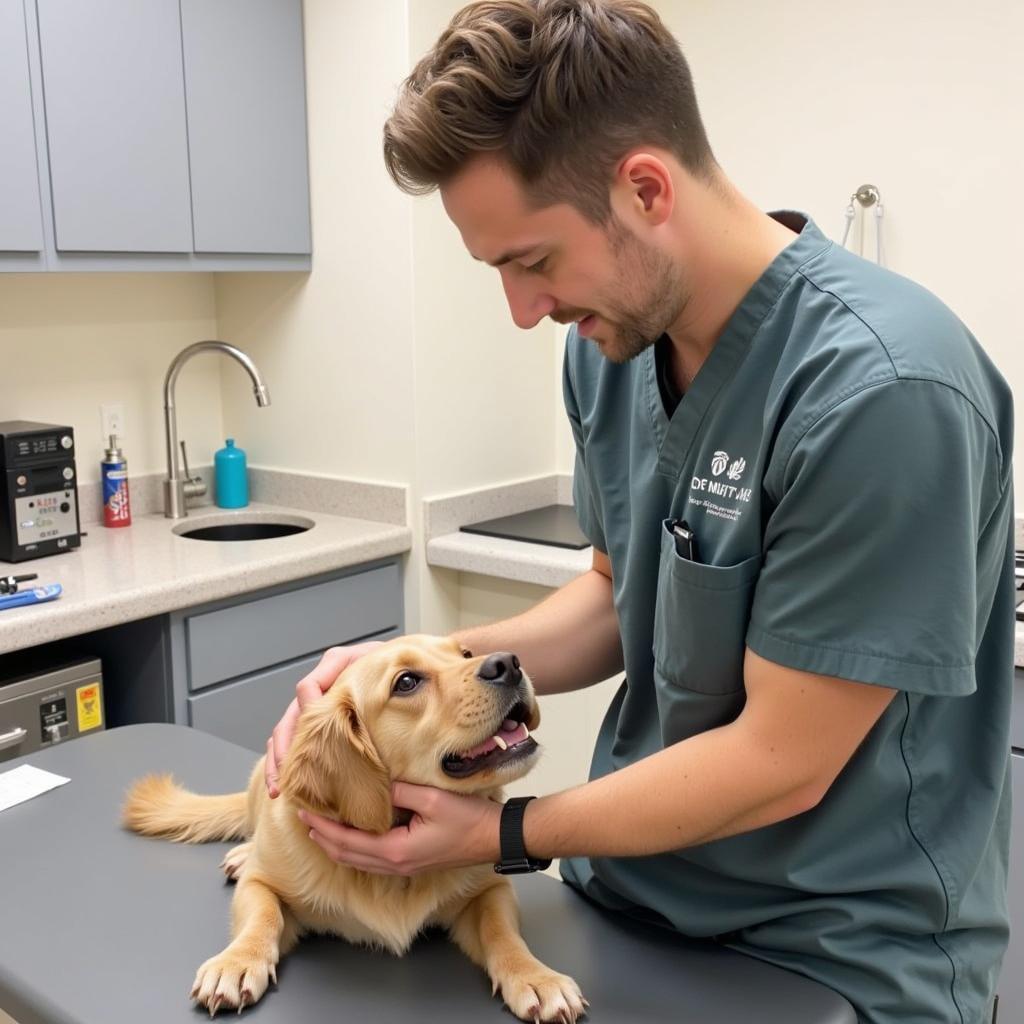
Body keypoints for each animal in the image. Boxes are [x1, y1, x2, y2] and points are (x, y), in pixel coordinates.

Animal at [120, 634, 585, 1019]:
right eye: (406, 682)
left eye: (466, 653)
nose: (508, 662)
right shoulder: (263, 885)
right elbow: (263, 916)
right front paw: (236, 963)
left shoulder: (490, 890)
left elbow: (502, 932)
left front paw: (536, 977)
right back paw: (242, 854)